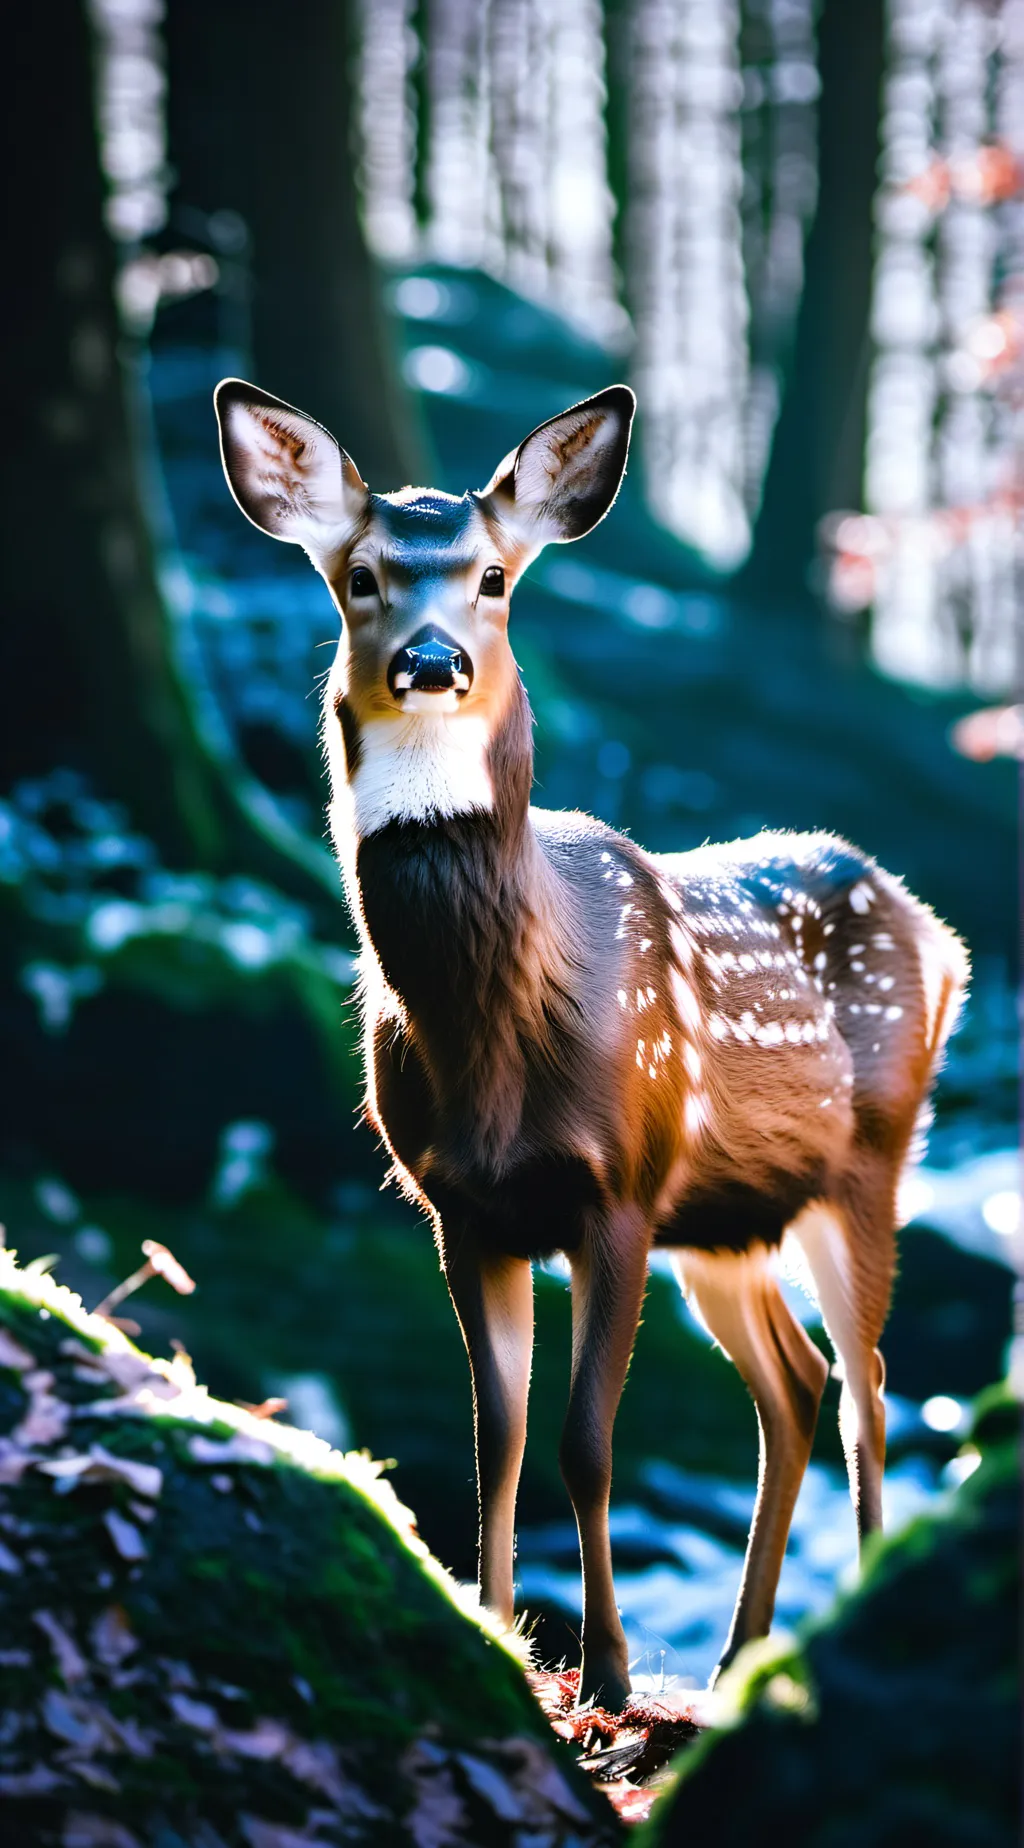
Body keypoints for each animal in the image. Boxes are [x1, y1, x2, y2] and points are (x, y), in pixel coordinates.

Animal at [215, 377, 969, 1710]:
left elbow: (584, 1438)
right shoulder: (460, 1204)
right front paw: (498, 1632)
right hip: (725, 1217)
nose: (430, 660)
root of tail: (944, 942)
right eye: (359, 577)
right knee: (795, 1383)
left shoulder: (616, 1185)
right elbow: (496, 1433)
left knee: (868, 1390)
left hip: (867, 1164)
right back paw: (738, 1652)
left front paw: (608, 1675)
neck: (496, 1041)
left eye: (493, 577)